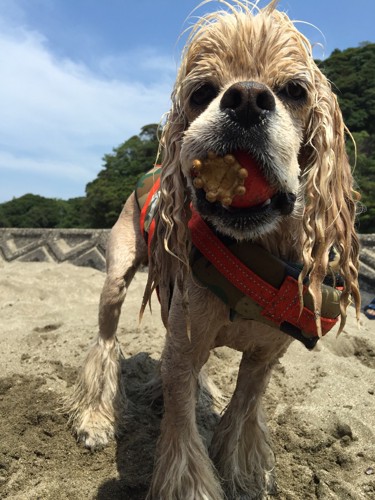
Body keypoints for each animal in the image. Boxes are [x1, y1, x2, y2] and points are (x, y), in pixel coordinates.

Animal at [67, 1, 362, 498]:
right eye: (201, 92)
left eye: (295, 90)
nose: (246, 98)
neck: (252, 249)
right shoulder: (183, 348)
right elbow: (181, 424)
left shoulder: (266, 355)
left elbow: (245, 408)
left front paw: (244, 472)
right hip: (116, 277)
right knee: (105, 344)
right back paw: (96, 418)